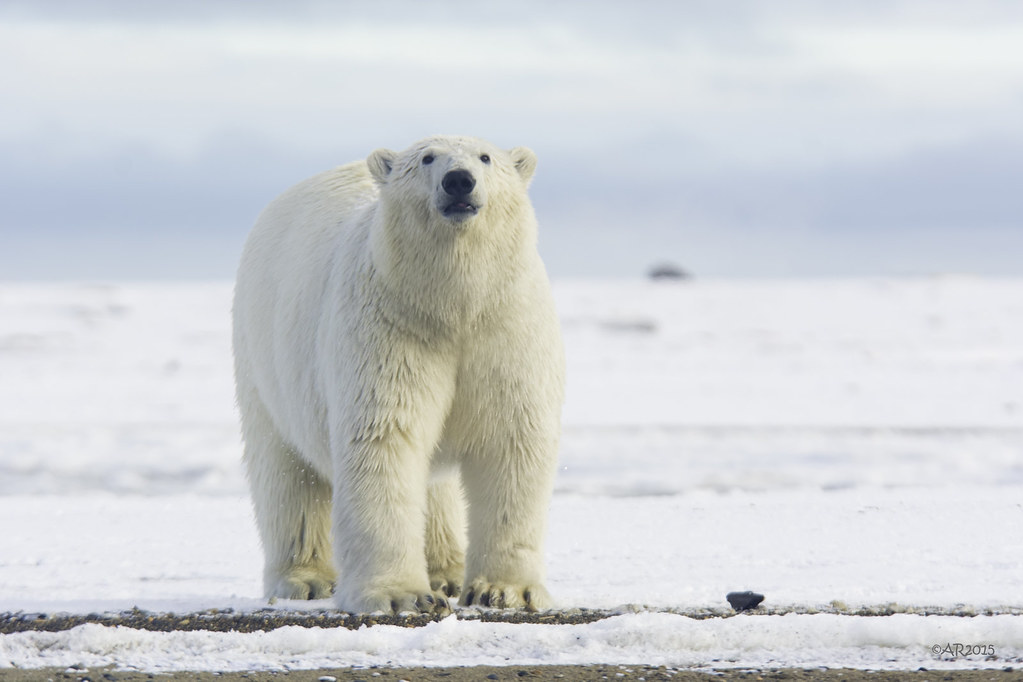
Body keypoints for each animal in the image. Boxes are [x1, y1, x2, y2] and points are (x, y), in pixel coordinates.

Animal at [232, 135, 564, 615]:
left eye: (485, 157)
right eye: (427, 158)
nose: (459, 180)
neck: (452, 305)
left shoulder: (506, 329)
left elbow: (512, 439)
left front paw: (503, 591)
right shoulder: (390, 328)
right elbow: (385, 438)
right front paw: (399, 595)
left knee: (435, 486)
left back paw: (446, 571)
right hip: (263, 360)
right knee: (286, 473)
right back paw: (305, 579)